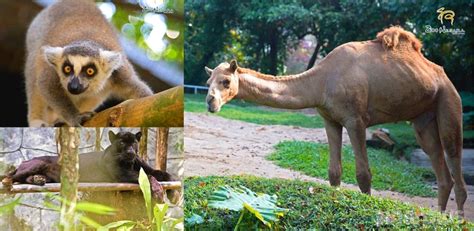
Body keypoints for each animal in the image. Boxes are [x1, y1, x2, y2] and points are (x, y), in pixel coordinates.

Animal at [204, 26, 466, 217]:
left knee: (453, 154)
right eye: (208, 82)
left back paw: (459, 217)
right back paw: (441, 217)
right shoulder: (330, 120)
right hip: (423, 118)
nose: (210, 102)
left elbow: (363, 174)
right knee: (439, 166)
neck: (321, 81)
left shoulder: (355, 120)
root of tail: (443, 75)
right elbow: (334, 172)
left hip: (449, 100)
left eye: (226, 81)